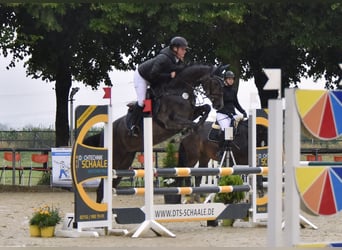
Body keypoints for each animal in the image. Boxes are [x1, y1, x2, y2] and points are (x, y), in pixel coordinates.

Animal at [83, 63, 227, 202]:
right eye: (215, 83)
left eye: (223, 85)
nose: (219, 105)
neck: (178, 91)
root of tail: (103, 133)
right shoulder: (170, 122)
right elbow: (193, 123)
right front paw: (189, 131)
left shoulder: (191, 114)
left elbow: (205, 108)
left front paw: (193, 127)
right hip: (115, 158)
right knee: (101, 189)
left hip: (124, 162)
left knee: (107, 187)